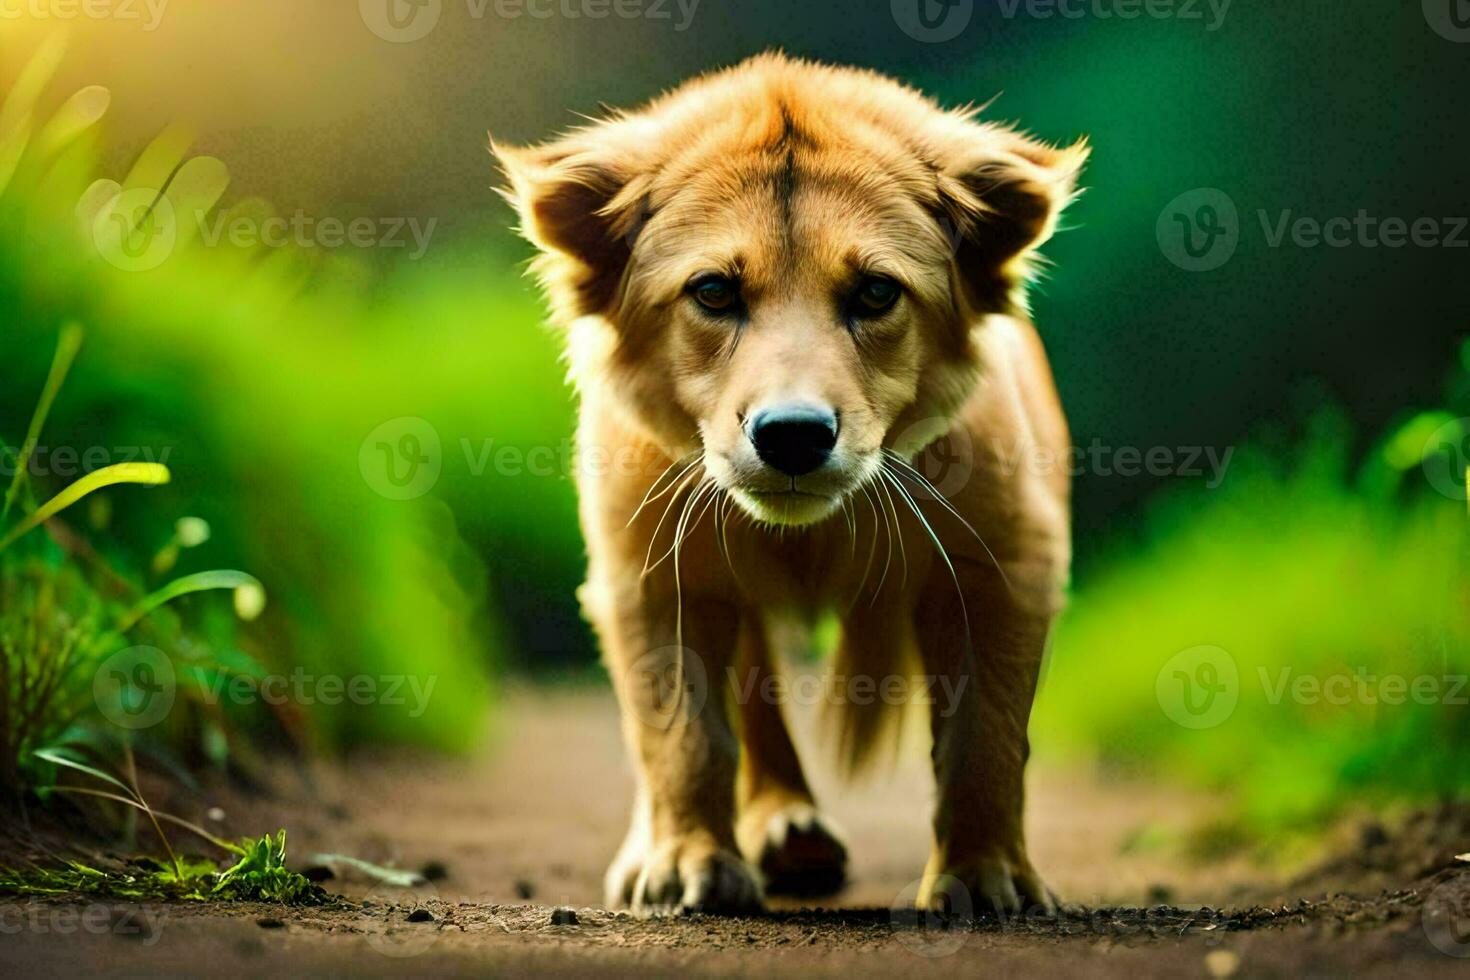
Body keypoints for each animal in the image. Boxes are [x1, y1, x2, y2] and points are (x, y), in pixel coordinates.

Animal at [499, 53, 1087, 916]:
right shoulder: (650, 572)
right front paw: (687, 864)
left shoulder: (1006, 564)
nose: (794, 435)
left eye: (876, 292)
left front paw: (985, 878)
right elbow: (682, 734)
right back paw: (773, 833)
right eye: (714, 292)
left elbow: (986, 737)